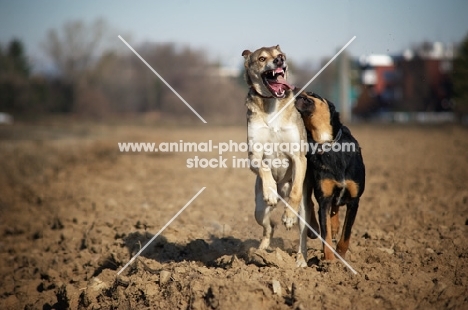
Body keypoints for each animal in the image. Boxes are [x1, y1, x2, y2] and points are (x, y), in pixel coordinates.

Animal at [296, 91, 366, 260]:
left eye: (313, 94)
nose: (296, 90)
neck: (325, 142)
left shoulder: (354, 199)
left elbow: (347, 232)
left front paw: (340, 254)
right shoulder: (324, 197)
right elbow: (325, 233)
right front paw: (329, 260)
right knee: (310, 203)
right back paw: (314, 228)